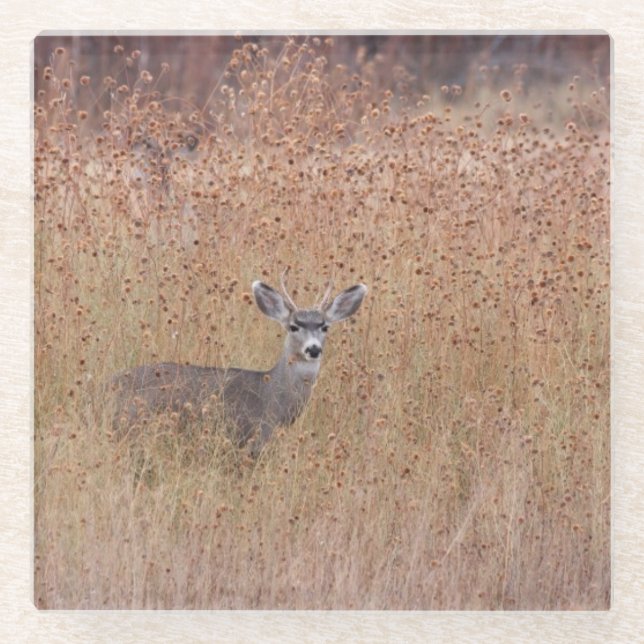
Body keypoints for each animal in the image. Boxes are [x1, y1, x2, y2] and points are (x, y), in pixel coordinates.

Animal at [109, 270, 367, 456]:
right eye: (294, 326)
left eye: (325, 327)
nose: (313, 349)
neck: (272, 396)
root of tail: (104, 388)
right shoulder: (251, 437)